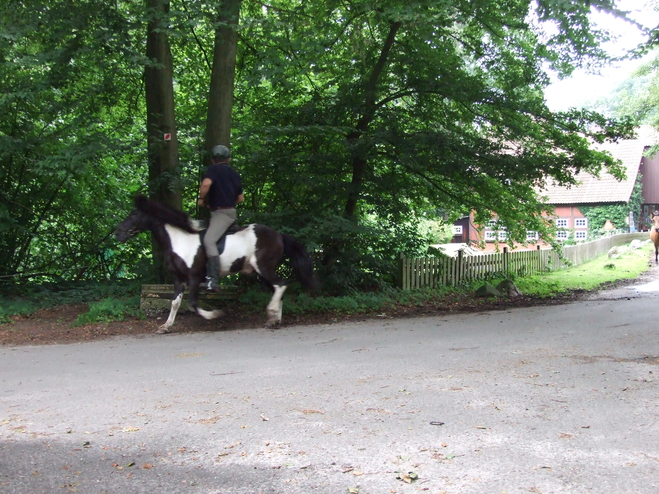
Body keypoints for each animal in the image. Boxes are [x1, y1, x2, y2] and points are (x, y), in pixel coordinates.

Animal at [114, 195, 318, 334]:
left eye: (134, 213)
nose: (117, 233)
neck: (179, 240)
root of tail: (279, 235)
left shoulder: (194, 278)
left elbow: (193, 304)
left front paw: (214, 315)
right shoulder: (178, 279)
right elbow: (175, 302)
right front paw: (166, 326)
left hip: (264, 267)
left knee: (281, 285)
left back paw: (272, 315)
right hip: (261, 272)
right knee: (278, 288)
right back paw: (275, 319)